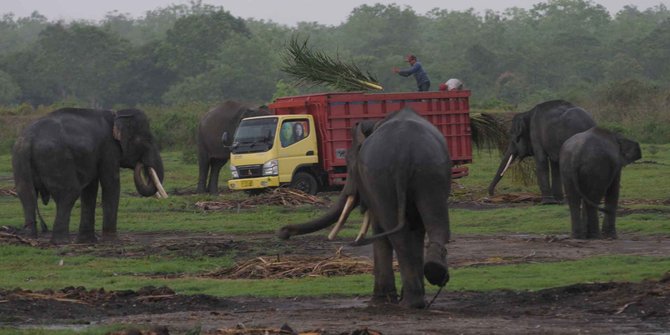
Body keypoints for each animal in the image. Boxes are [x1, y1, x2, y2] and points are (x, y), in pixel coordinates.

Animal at [12, 107, 167, 244]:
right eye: (147, 139)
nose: (141, 163)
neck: (116, 114)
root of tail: (29, 140)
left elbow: (90, 190)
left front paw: (86, 241)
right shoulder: (108, 148)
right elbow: (110, 184)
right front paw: (112, 241)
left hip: (19, 159)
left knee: (26, 194)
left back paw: (29, 239)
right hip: (56, 159)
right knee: (69, 193)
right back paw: (61, 241)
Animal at [278, 108, 452, 310]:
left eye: (347, 160)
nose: (283, 231)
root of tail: (404, 153)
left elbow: (380, 227)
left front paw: (380, 301)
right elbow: (416, 227)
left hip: (382, 177)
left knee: (396, 234)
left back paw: (409, 302)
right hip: (430, 171)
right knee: (435, 223)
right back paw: (430, 280)